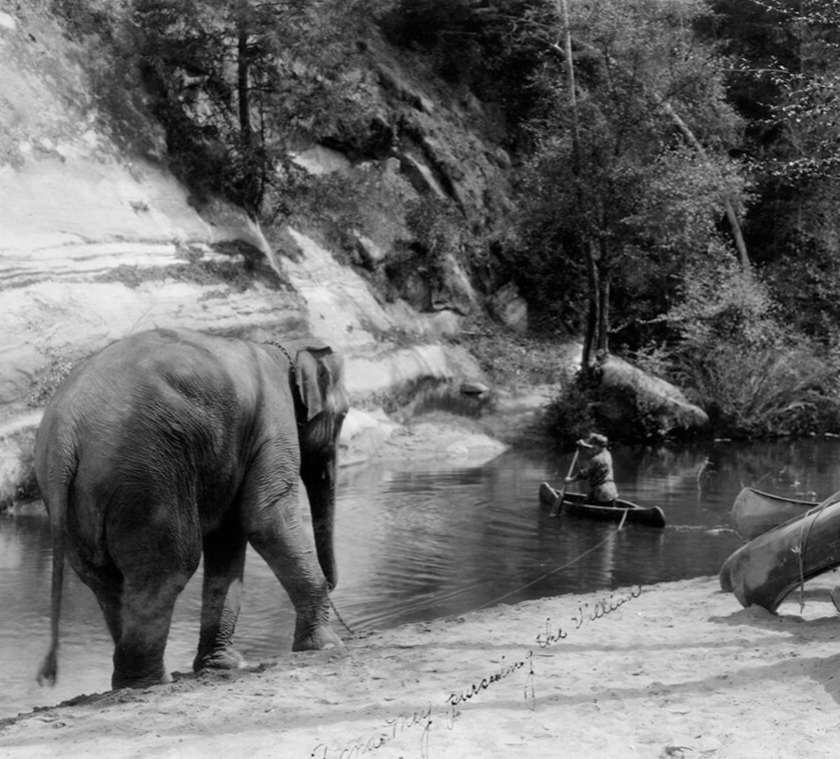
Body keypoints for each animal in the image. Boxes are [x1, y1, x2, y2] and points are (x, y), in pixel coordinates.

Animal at [34, 327, 348, 689]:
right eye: (343, 415)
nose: (333, 584)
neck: (280, 346)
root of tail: (64, 431)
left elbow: (228, 539)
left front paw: (224, 665)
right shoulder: (272, 422)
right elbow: (265, 520)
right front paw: (327, 646)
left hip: (76, 500)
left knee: (105, 580)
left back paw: (132, 682)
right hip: (146, 473)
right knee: (171, 564)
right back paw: (151, 682)